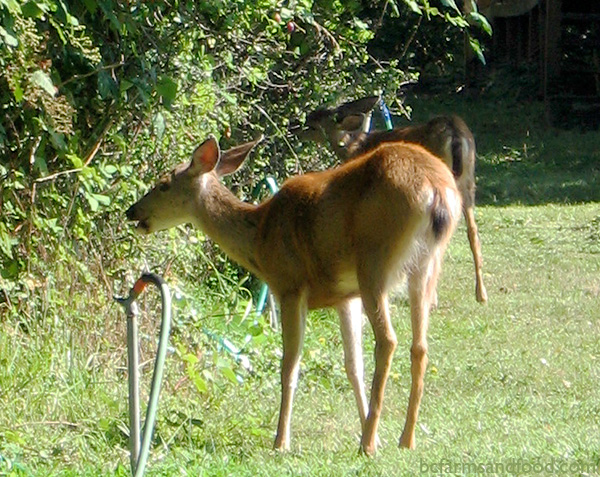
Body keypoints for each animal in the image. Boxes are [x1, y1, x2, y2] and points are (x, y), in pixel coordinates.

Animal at [125, 134, 464, 454]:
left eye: (164, 184)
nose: (132, 211)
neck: (259, 238)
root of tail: (436, 190)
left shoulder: (289, 285)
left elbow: (290, 364)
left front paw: (281, 440)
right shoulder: (345, 296)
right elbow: (353, 364)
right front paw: (374, 431)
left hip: (374, 262)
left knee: (388, 340)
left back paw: (366, 445)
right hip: (424, 267)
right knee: (419, 346)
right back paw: (404, 439)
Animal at [298, 96, 490, 304]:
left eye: (313, 123)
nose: (296, 128)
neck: (355, 147)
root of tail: (455, 135)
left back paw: (434, 298)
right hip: (468, 182)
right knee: (472, 232)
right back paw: (481, 294)